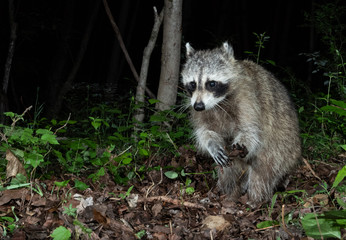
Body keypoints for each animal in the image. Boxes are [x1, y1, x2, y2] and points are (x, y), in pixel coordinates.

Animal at [181, 41, 300, 206]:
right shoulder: (198, 108)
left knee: (264, 171)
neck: (219, 102)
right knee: (229, 170)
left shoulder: (248, 99)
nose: (198, 106)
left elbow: (250, 131)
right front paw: (212, 145)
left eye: (211, 83)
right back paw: (228, 191)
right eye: (192, 84)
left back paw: (255, 199)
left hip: (282, 147)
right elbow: (204, 131)